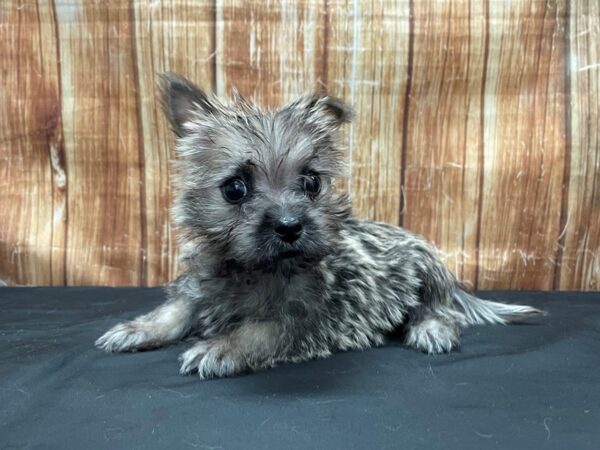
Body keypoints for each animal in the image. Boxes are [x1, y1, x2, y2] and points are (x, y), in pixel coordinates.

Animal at [95, 73, 544, 380]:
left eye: (311, 182)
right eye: (235, 188)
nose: (290, 226)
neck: (256, 270)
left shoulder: (308, 320)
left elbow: (261, 330)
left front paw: (222, 347)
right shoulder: (200, 287)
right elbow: (175, 309)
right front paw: (138, 328)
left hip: (425, 265)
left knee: (438, 309)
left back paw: (431, 328)